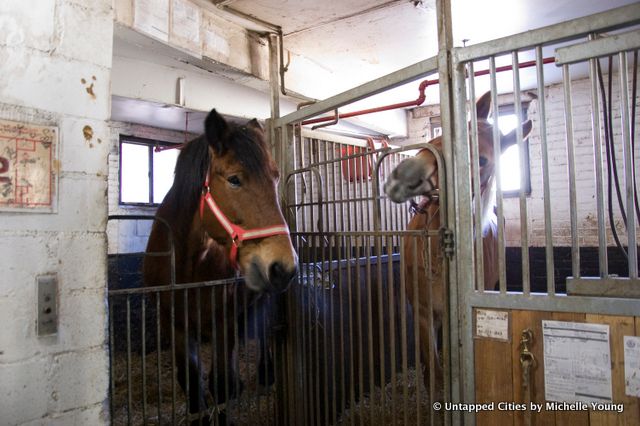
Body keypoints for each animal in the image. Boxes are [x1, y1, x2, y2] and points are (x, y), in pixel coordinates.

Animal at [142, 109, 298, 422]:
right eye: (234, 179)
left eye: (275, 177)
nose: (284, 266)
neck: (187, 264)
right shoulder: (175, 324)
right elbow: (191, 383)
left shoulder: (222, 323)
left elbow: (221, 385)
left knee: (264, 334)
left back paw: (265, 375)